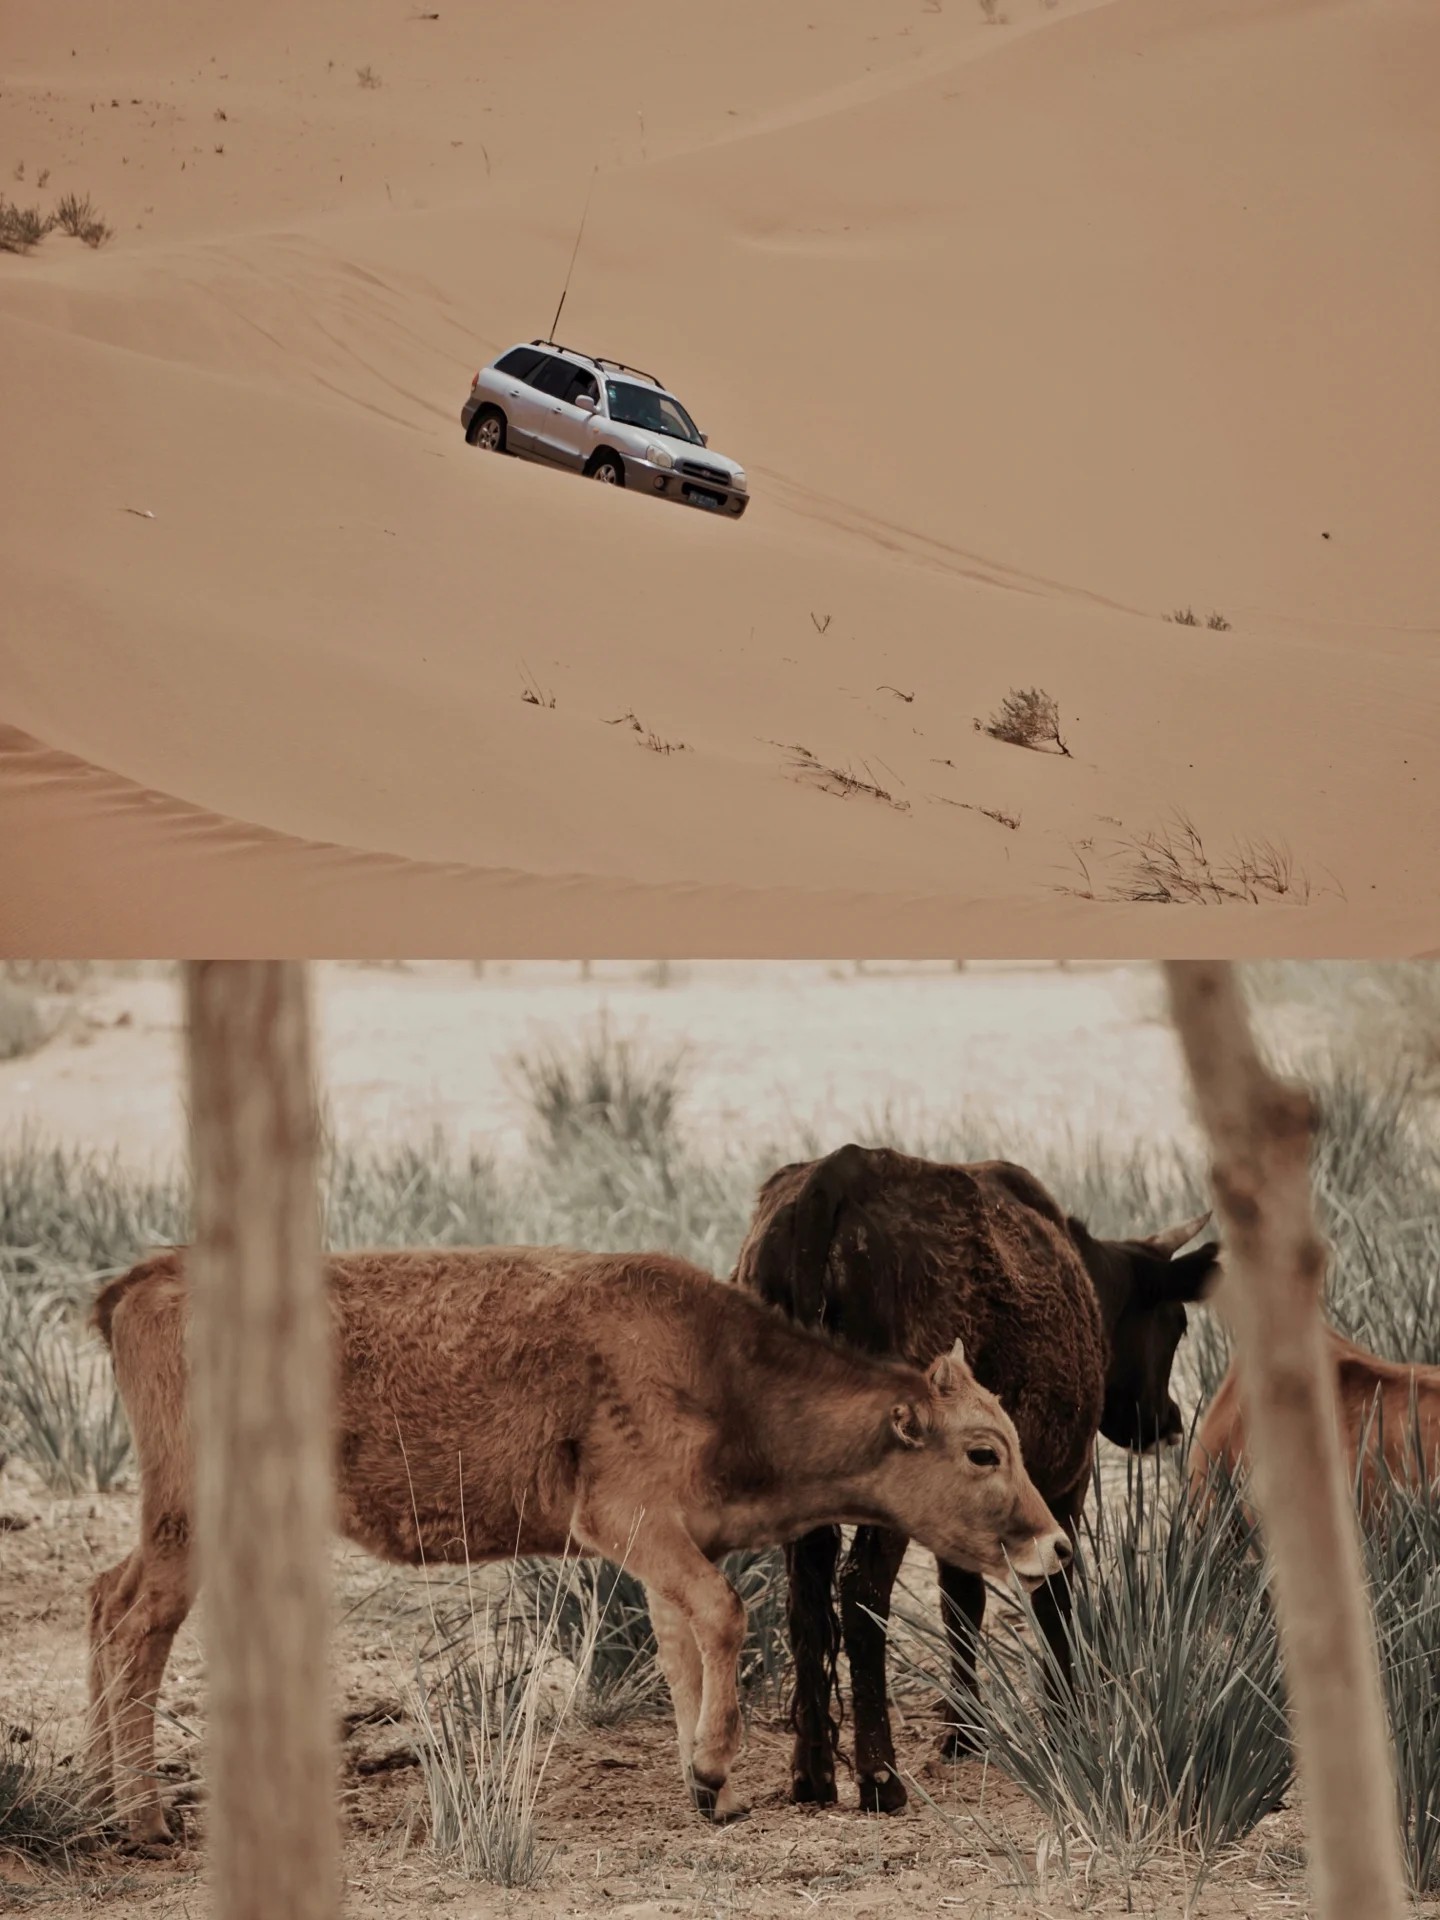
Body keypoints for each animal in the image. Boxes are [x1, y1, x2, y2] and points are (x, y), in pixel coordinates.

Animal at [737, 1136, 1221, 1812]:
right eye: (1176, 1323)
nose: (1171, 1421)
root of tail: (837, 1171)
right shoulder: (1064, 1482)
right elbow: (1052, 1593)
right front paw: (1065, 1720)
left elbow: (959, 1604)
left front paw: (963, 1732)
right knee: (861, 1589)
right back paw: (880, 1777)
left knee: (805, 1595)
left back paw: (812, 1775)